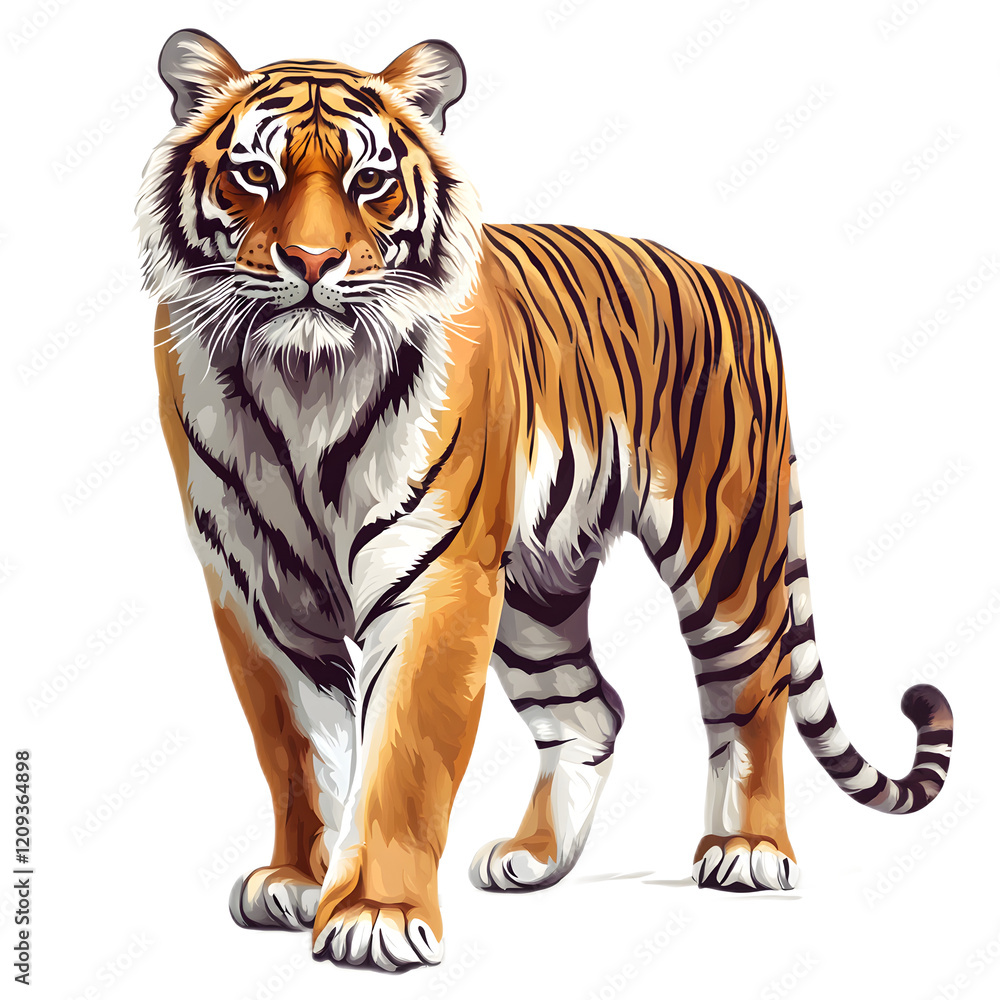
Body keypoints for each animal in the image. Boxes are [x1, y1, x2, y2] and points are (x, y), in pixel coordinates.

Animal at [137, 29, 955, 972]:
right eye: (256, 173)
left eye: (370, 181)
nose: (310, 264)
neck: (304, 380)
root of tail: (735, 285)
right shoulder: (258, 590)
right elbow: (301, 752)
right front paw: (299, 881)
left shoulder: (437, 578)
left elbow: (402, 756)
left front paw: (374, 914)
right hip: (533, 590)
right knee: (590, 707)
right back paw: (534, 857)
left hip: (726, 558)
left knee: (752, 695)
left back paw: (747, 849)